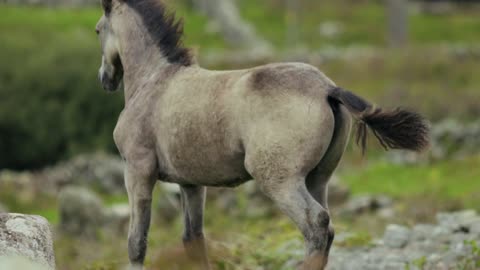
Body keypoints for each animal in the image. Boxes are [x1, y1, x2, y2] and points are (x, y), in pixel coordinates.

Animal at [95, 1, 430, 268]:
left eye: (98, 30)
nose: (104, 79)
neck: (154, 82)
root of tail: (327, 89)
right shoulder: (191, 183)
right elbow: (194, 240)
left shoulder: (137, 170)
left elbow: (137, 242)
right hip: (318, 178)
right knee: (328, 226)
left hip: (279, 180)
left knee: (316, 224)